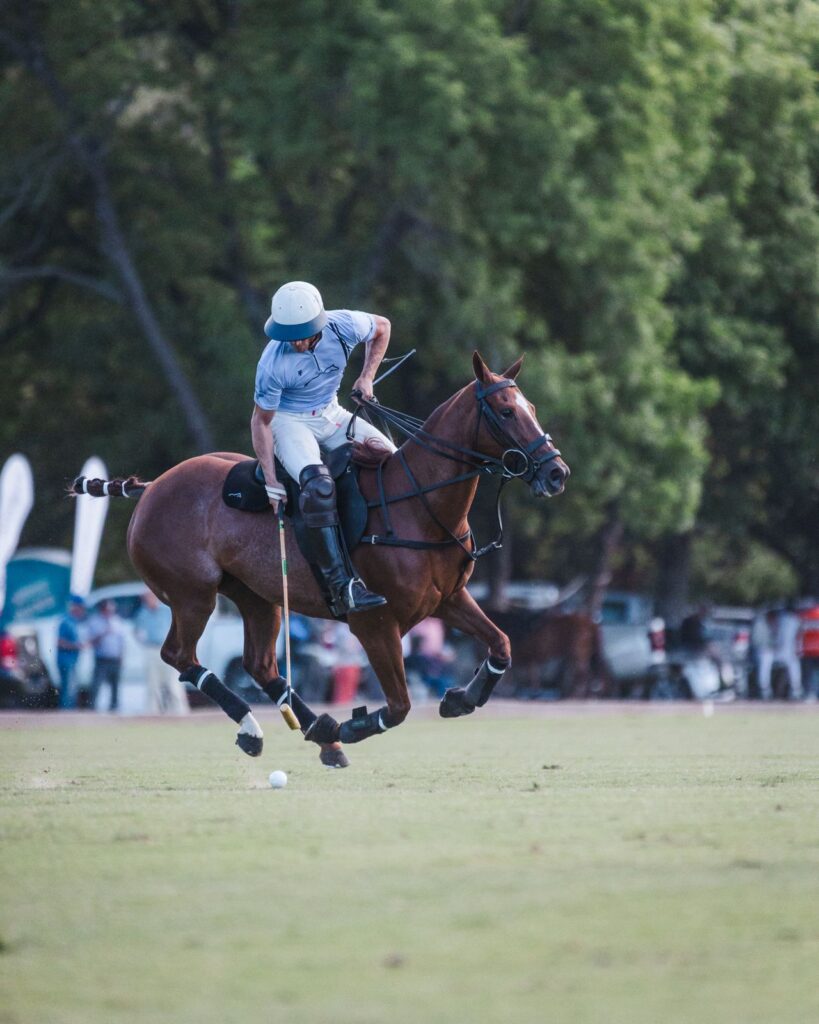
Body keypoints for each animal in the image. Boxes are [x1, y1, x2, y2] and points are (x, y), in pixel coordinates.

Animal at [75, 352, 570, 768]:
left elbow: (502, 644)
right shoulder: (375, 623)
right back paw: (263, 729)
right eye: (505, 412)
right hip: (192, 594)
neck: (420, 506)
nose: (556, 473)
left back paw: (318, 730)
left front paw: (459, 699)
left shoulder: (448, 599)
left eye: (531, 407)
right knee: (179, 655)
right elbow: (400, 705)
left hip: (257, 595)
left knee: (259, 664)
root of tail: (152, 487)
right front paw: (354, 725)